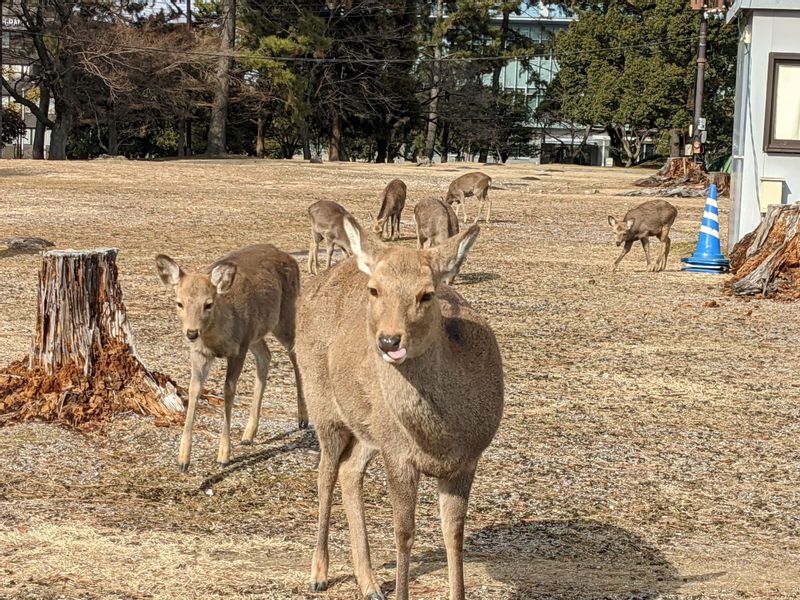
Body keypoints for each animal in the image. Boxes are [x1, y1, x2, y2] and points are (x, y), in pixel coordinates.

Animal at [155, 245, 308, 474]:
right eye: (179, 303)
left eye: (208, 304)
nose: (191, 333)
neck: (216, 339)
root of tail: (287, 255)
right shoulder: (199, 352)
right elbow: (193, 390)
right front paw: (183, 459)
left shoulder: (239, 348)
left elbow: (228, 390)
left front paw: (223, 456)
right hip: (256, 333)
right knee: (266, 356)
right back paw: (248, 435)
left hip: (285, 315)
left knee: (295, 352)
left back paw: (303, 419)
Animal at [296, 216, 504, 600]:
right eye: (374, 290)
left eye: (427, 293)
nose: (389, 340)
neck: (440, 438)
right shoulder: (399, 455)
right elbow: (404, 533)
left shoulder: (467, 459)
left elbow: (454, 534)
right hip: (324, 408)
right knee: (325, 473)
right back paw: (319, 574)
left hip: (369, 427)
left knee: (350, 471)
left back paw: (369, 583)